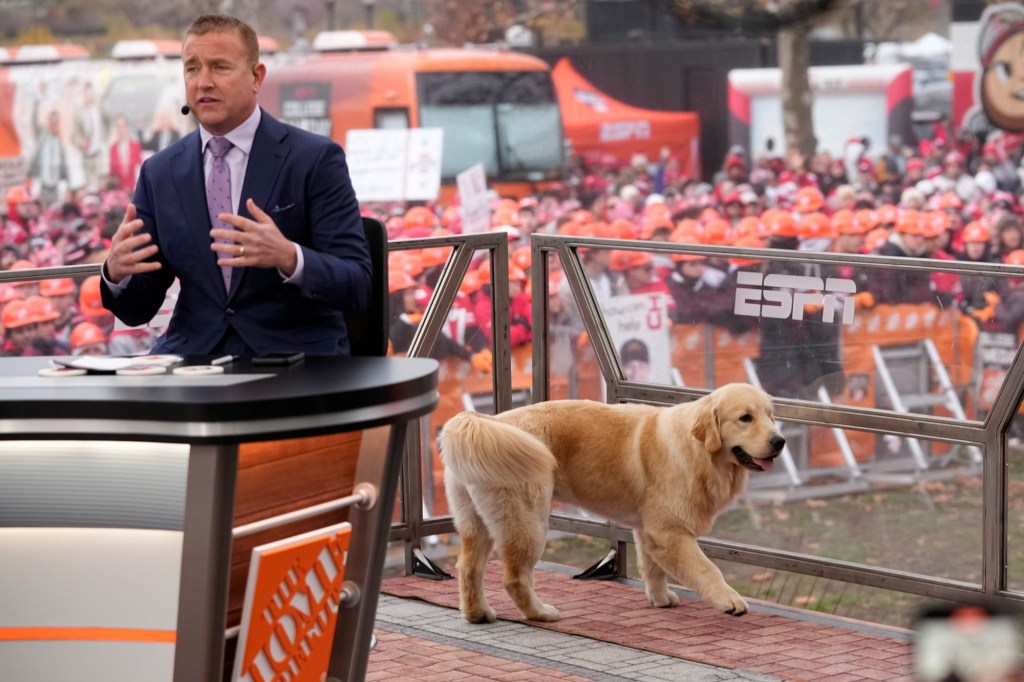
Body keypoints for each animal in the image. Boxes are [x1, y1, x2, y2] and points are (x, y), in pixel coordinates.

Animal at [440, 382, 782, 622]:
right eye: (745, 418)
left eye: (770, 416)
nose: (779, 441)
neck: (698, 450)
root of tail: (486, 422)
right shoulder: (670, 531)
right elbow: (707, 568)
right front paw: (730, 600)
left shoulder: (648, 530)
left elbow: (652, 567)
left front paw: (660, 598)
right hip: (528, 523)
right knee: (514, 578)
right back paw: (541, 613)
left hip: (477, 522)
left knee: (468, 567)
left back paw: (478, 614)